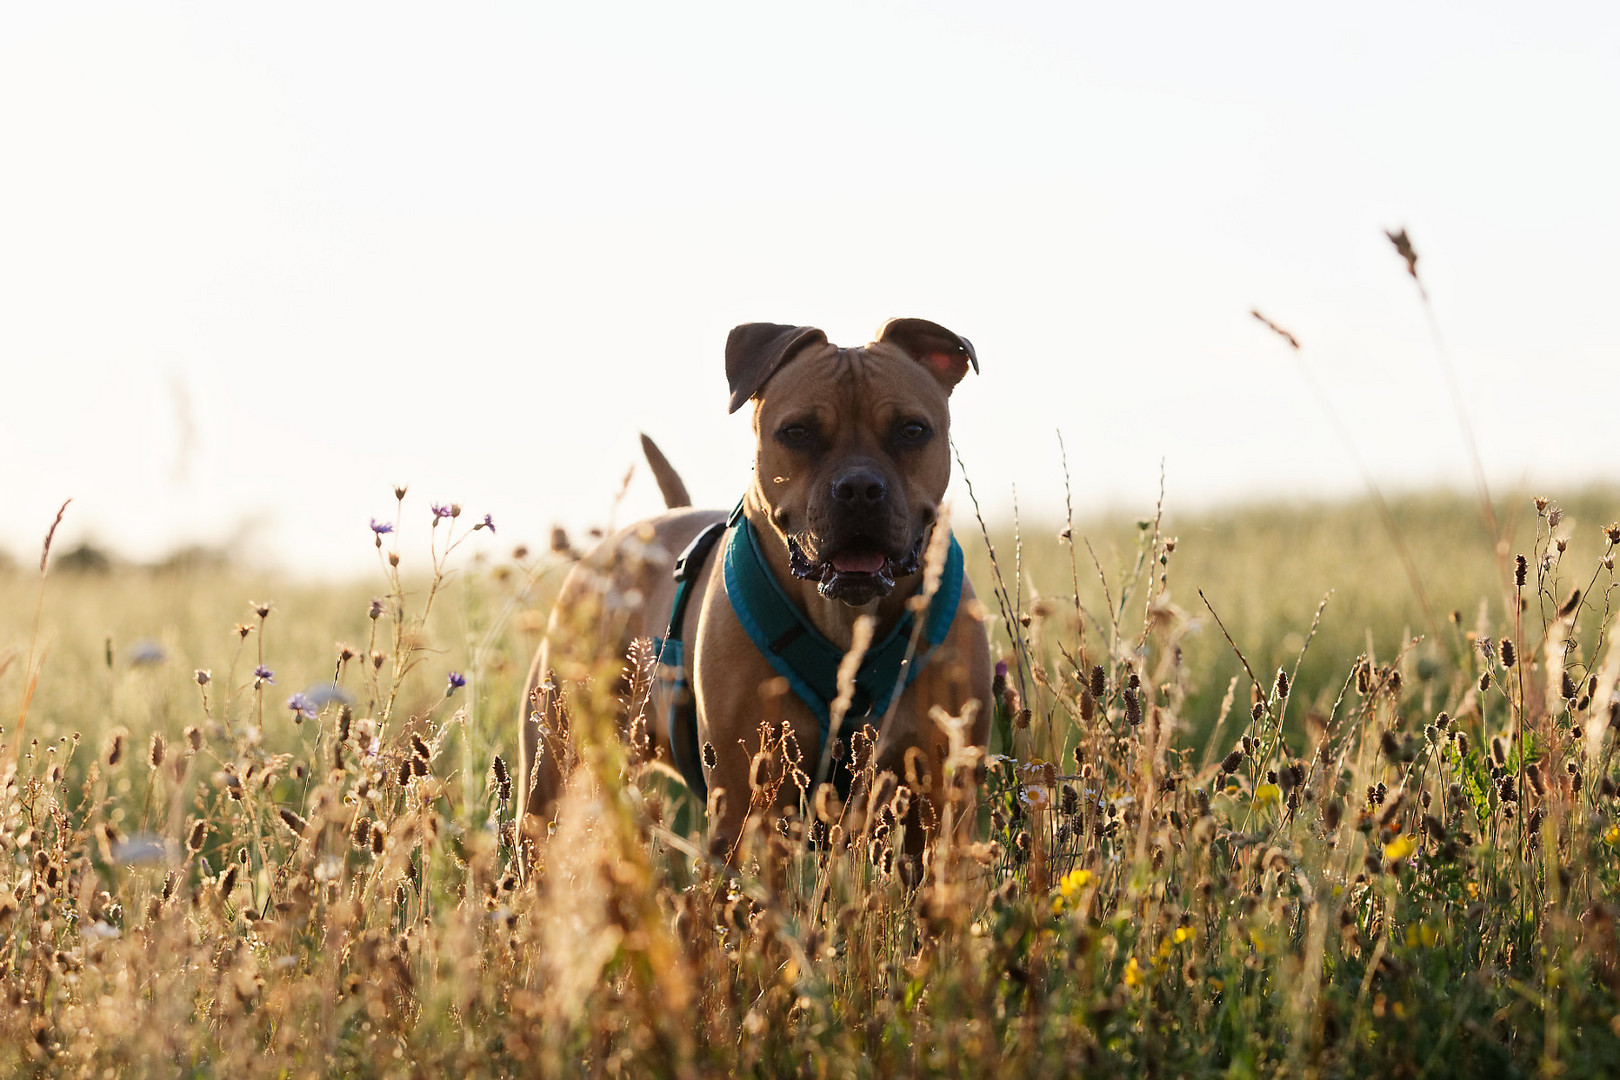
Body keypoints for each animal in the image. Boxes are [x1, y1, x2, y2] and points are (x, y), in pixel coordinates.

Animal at [518, 317, 991, 867]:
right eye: (797, 432)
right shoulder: (747, 807)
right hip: (553, 777)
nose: (858, 489)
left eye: (912, 430)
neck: (846, 619)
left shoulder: (940, 804)